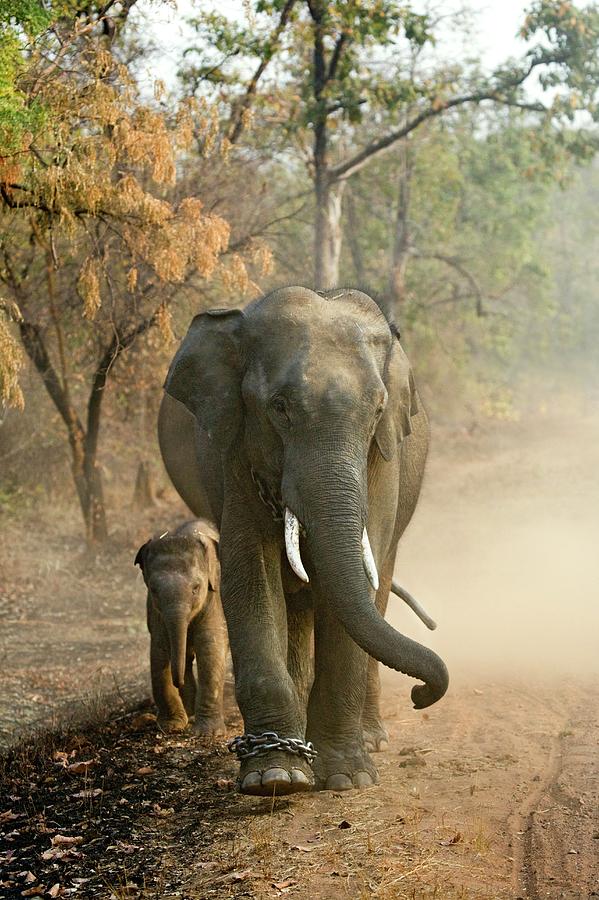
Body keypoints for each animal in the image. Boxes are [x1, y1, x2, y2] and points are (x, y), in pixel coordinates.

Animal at [135, 516, 227, 736]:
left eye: (196, 588)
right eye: (153, 589)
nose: (179, 682)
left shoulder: (215, 598)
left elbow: (211, 647)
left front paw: (208, 734)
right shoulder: (155, 612)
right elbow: (159, 652)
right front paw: (172, 726)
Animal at [157, 286, 448, 796]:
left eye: (377, 410)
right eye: (279, 407)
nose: (420, 695)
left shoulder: (383, 460)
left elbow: (358, 584)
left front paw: (348, 778)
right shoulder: (237, 455)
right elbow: (250, 574)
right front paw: (275, 777)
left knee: (376, 589)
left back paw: (370, 740)